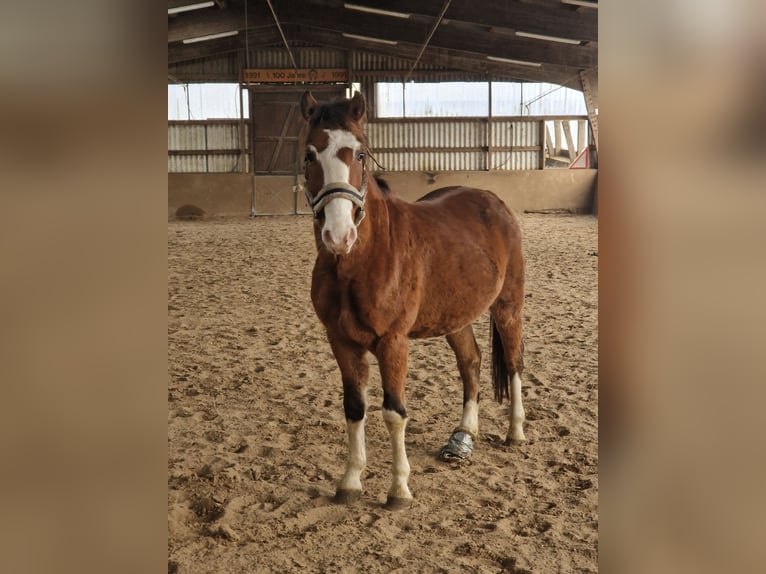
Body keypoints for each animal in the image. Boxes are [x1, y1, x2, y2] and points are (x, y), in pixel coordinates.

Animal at [300, 90, 526, 510]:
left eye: (359, 153)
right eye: (310, 155)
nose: (338, 235)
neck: (360, 262)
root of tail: (492, 201)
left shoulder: (393, 343)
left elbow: (393, 413)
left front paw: (399, 489)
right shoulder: (341, 342)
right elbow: (354, 409)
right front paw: (350, 482)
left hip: (508, 306)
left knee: (515, 362)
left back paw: (516, 432)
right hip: (456, 317)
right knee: (471, 363)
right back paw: (462, 437)